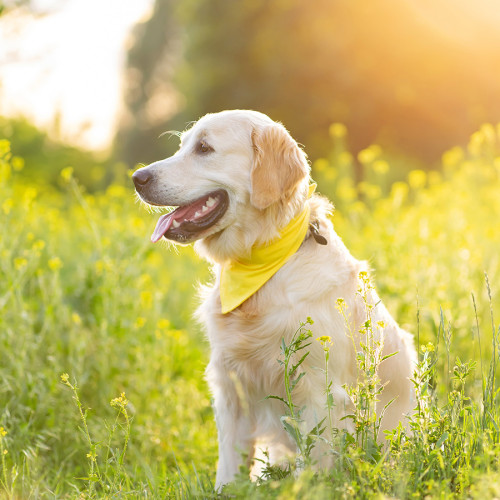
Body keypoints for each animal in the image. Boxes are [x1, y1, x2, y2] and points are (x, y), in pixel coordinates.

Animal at [131, 109, 416, 488]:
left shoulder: (319, 392)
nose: (137, 177)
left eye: (204, 148)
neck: (262, 261)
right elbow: (229, 467)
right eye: (182, 146)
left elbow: (314, 468)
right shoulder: (231, 388)